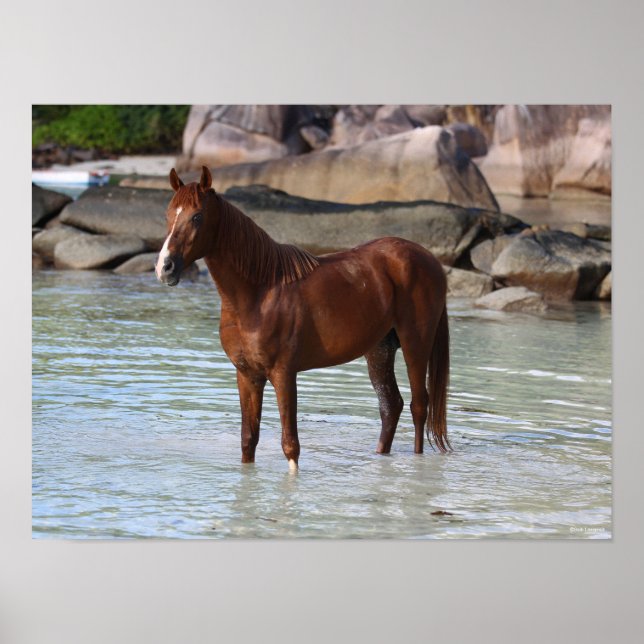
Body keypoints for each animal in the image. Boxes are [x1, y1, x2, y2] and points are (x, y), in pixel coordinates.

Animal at [155, 166, 450, 471]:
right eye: (168, 214)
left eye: (197, 216)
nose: (165, 267)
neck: (258, 294)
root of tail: (428, 258)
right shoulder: (247, 375)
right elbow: (249, 440)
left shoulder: (284, 374)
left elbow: (290, 445)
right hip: (380, 350)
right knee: (391, 405)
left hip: (416, 344)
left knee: (419, 406)